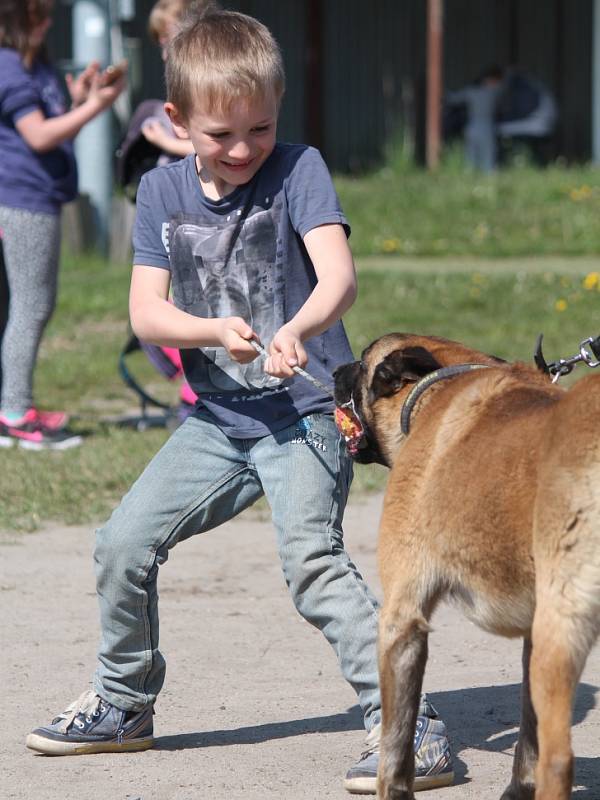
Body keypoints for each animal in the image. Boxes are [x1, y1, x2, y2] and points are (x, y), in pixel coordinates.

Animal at [332, 334, 600, 800]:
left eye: (362, 364)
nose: (332, 371)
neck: (437, 387)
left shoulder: (401, 620)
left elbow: (395, 752)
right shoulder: (532, 631)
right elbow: (527, 737)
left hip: (561, 631)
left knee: (559, 760)